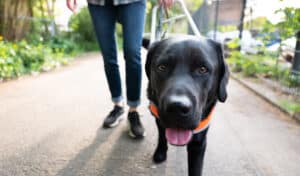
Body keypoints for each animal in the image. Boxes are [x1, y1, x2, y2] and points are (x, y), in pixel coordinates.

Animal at [143, 36, 230, 176]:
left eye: (202, 69)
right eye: (162, 67)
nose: (177, 108)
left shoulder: (199, 142)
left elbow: (195, 168)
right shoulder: (158, 117)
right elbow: (162, 135)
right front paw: (160, 152)